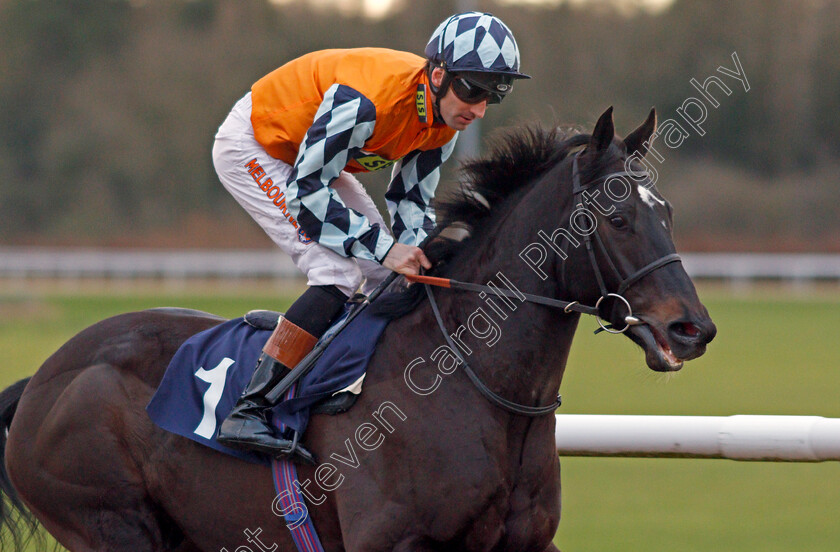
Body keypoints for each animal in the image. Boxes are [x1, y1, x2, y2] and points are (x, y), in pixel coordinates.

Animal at [1, 109, 716, 552]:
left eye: (668, 212)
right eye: (616, 218)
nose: (692, 329)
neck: (475, 386)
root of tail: (43, 378)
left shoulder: (527, 541)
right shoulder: (392, 540)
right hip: (110, 522)